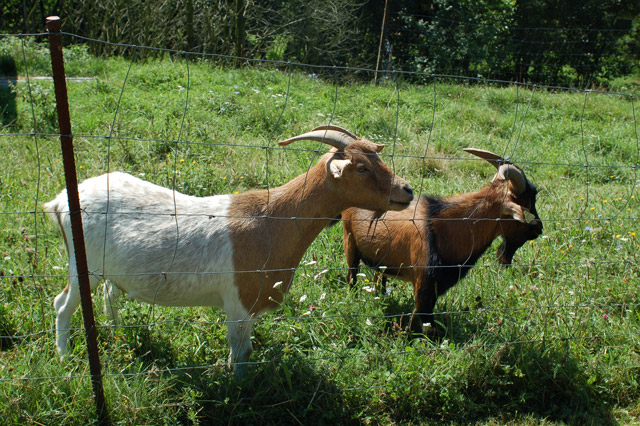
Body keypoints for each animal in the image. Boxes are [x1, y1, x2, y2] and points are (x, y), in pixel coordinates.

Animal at [46, 125, 416, 372]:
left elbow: (247, 349)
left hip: (113, 270)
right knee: (63, 304)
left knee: (110, 296)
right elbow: (239, 354)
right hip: (82, 266)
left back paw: (119, 336)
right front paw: (238, 389)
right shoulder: (238, 303)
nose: (407, 190)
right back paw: (64, 358)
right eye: (361, 167)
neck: (271, 220)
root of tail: (60, 201)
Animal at [342, 149, 544, 332]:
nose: (539, 229)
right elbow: (425, 323)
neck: (447, 225)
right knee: (352, 275)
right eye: (527, 203)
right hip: (349, 241)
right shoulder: (423, 284)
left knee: (379, 276)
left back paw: (382, 296)